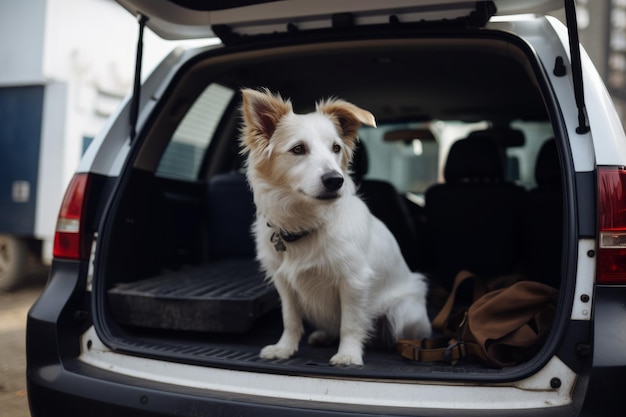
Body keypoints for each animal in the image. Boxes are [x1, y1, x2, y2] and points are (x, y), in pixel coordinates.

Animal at [239, 88, 428, 364]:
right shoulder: (284, 284)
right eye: (298, 149)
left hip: (403, 311)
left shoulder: (354, 280)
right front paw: (284, 349)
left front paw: (348, 355)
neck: (305, 223)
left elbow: (350, 323)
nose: (335, 180)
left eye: (336, 148)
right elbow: (291, 319)